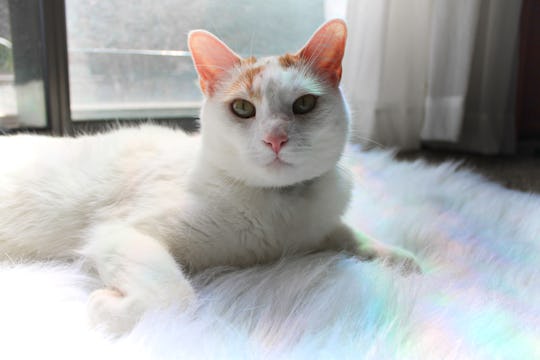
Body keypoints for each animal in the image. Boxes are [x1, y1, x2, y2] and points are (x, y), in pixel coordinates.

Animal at [0, 19, 420, 334]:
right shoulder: (120, 232)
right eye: (242, 108)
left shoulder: (318, 227)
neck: (280, 205)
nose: (275, 138)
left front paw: (401, 258)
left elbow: (348, 234)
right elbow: (176, 296)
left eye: (304, 104)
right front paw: (106, 309)